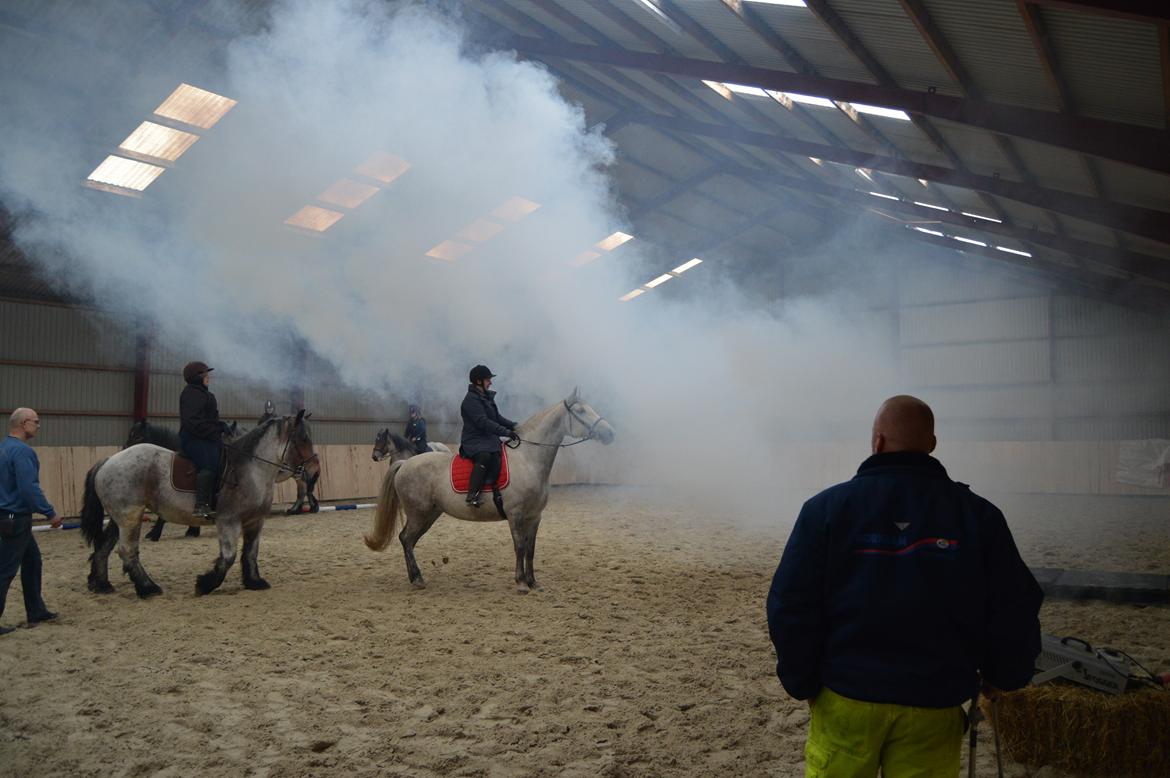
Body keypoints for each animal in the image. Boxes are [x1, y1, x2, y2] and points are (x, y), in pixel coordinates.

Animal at [79, 411, 318, 594]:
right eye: (303, 439)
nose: (315, 471)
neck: (251, 469)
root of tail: (107, 461)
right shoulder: (228, 521)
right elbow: (229, 556)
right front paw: (205, 584)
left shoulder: (255, 521)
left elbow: (250, 553)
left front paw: (254, 582)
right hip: (130, 517)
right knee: (127, 551)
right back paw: (148, 588)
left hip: (121, 517)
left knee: (104, 546)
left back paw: (101, 584)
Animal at [365, 388, 613, 594]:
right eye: (580, 410)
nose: (610, 433)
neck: (527, 459)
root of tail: (405, 464)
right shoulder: (515, 514)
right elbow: (519, 546)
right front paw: (521, 583)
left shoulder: (535, 517)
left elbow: (531, 549)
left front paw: (533, 582)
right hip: (419, 513)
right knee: (406, 539)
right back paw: (417, 579)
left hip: (430, 514)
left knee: (408, 540)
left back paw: (415, 577)